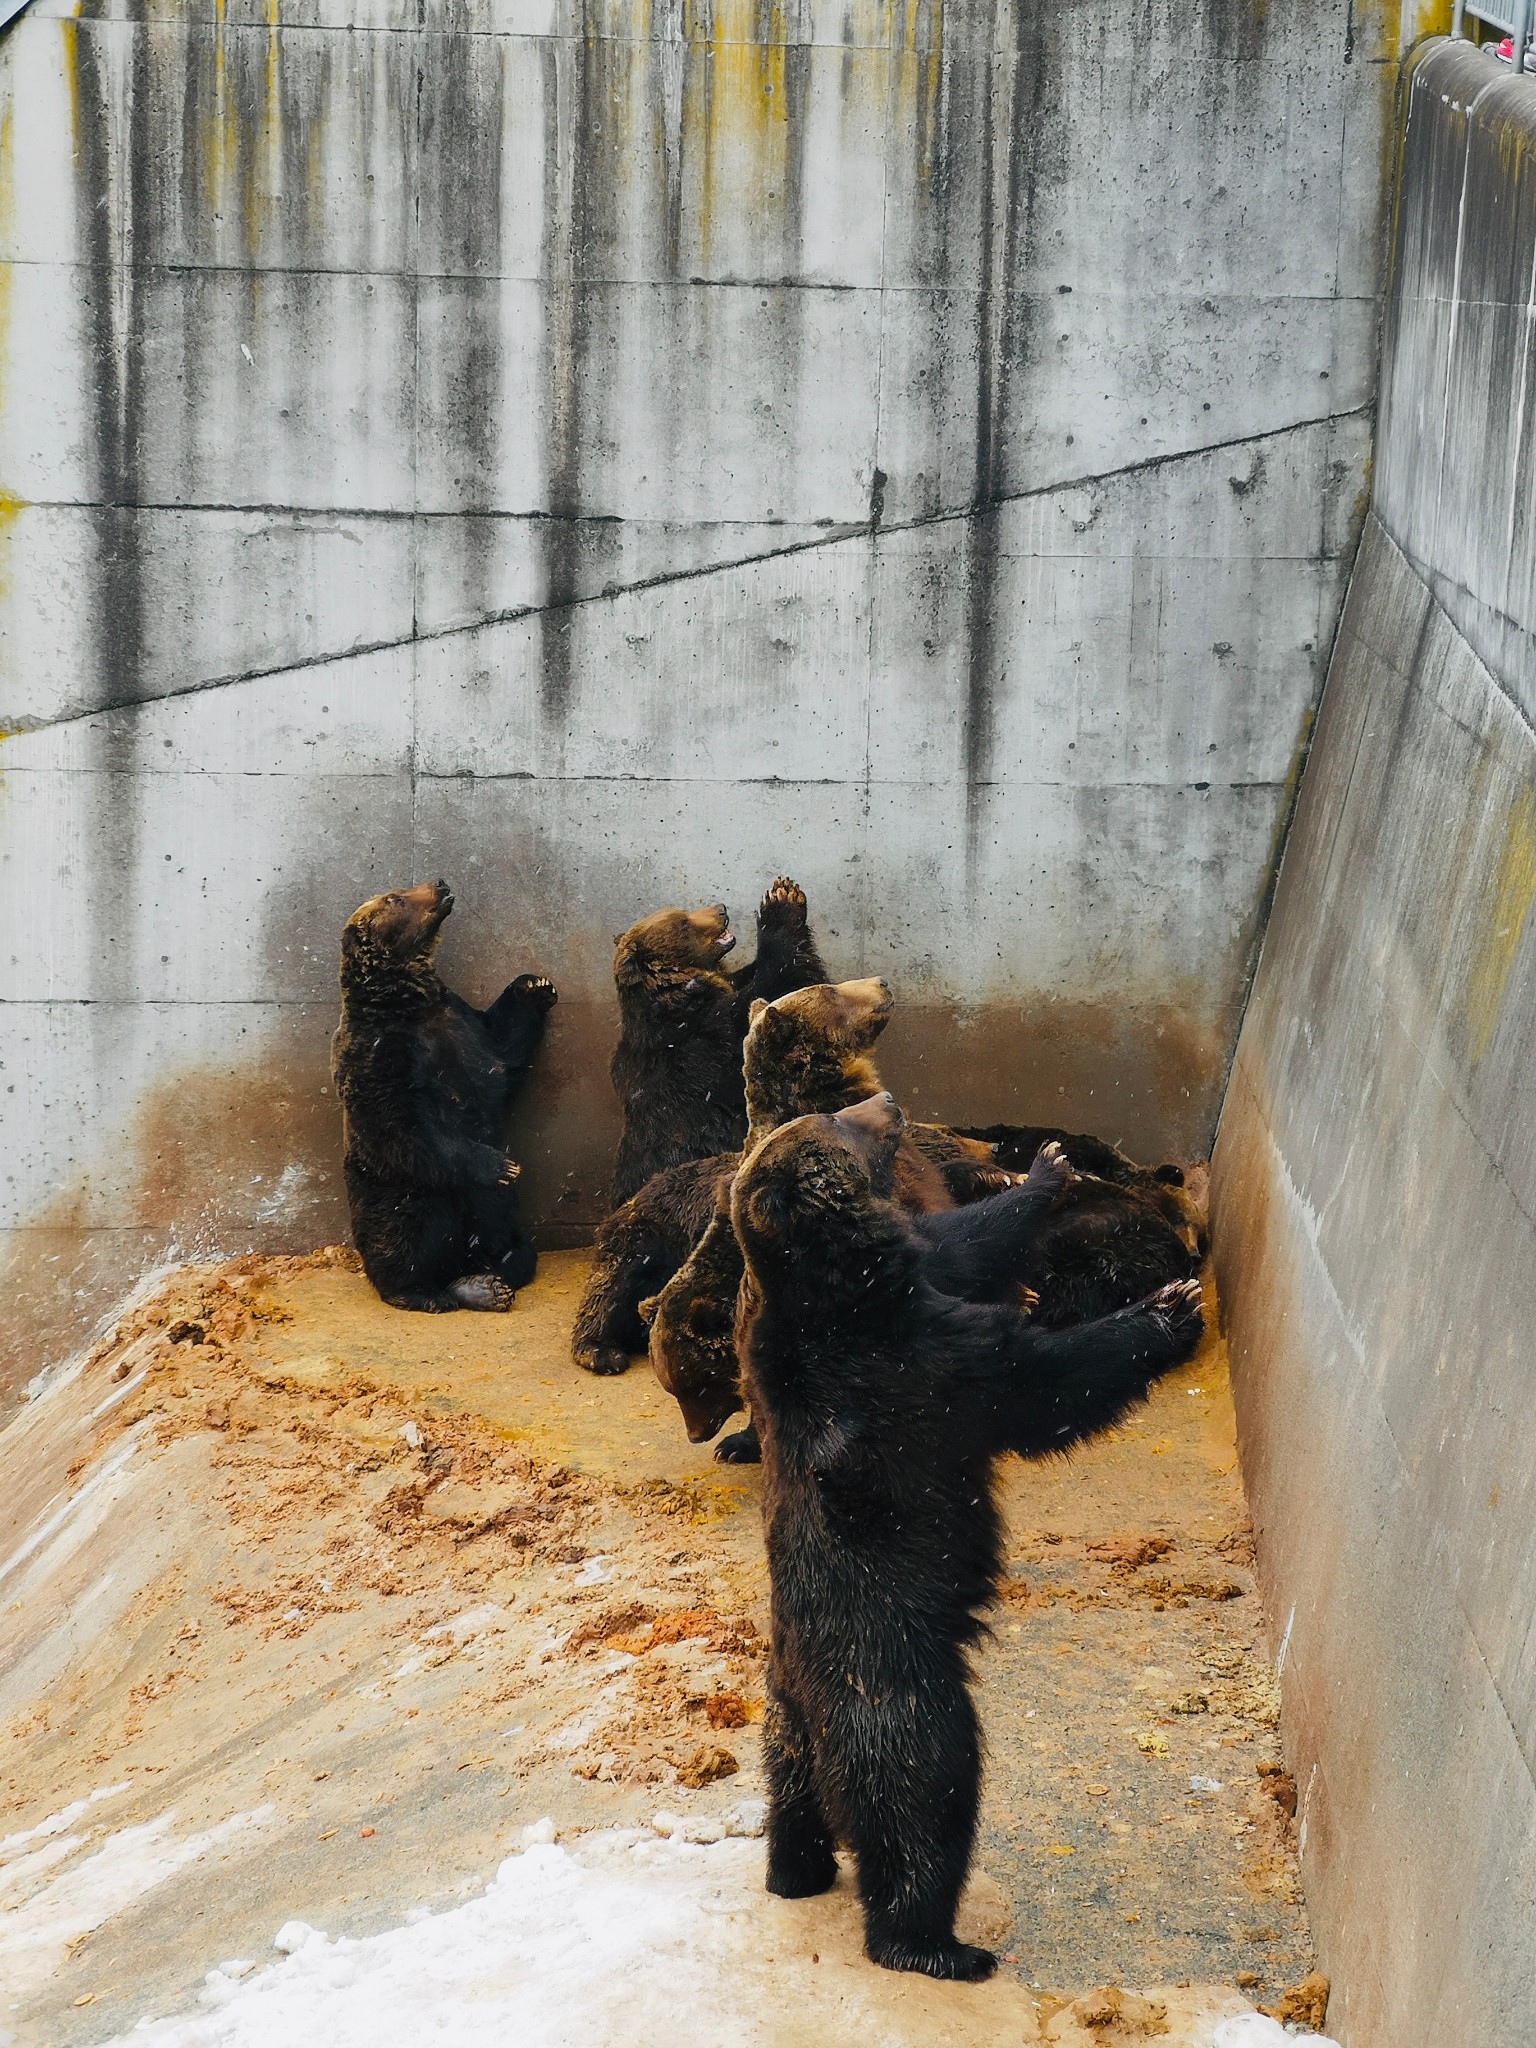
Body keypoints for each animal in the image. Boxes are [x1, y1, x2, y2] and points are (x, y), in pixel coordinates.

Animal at [331, 880, 561, 1310]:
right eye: (395, 898)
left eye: (400, 889)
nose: (439, 884)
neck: (407, 1003)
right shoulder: (380, 1054)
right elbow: (403, 1125)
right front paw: (502, 1166)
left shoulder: (461, 1024)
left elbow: (503, 1050)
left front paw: (534, 985)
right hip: (395, 1192)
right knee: (413, 1231)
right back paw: (426, 1290)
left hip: (498, 1221)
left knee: (505, 1236)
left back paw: (494, 1276)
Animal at [610, 876, 831, 1196]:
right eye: (682, 922)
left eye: (683, 911)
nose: (720, 908)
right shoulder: (705, 1045)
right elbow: (776, 986)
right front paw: (780, 902)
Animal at [729, 1105, 1204, 1982]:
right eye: (839, 1121)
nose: (885, 1101)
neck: (846, 1293)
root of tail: (809, 1697)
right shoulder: (922, 1370)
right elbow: (1045, 1383)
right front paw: (1169, 1306)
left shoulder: (914, 1293)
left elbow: (965, 1239)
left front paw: (1046, 1169)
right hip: (895, 1692)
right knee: (922, 1806)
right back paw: (936, 1944)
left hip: (784, 1720)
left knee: (792, 1796)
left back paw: (793, 1873)